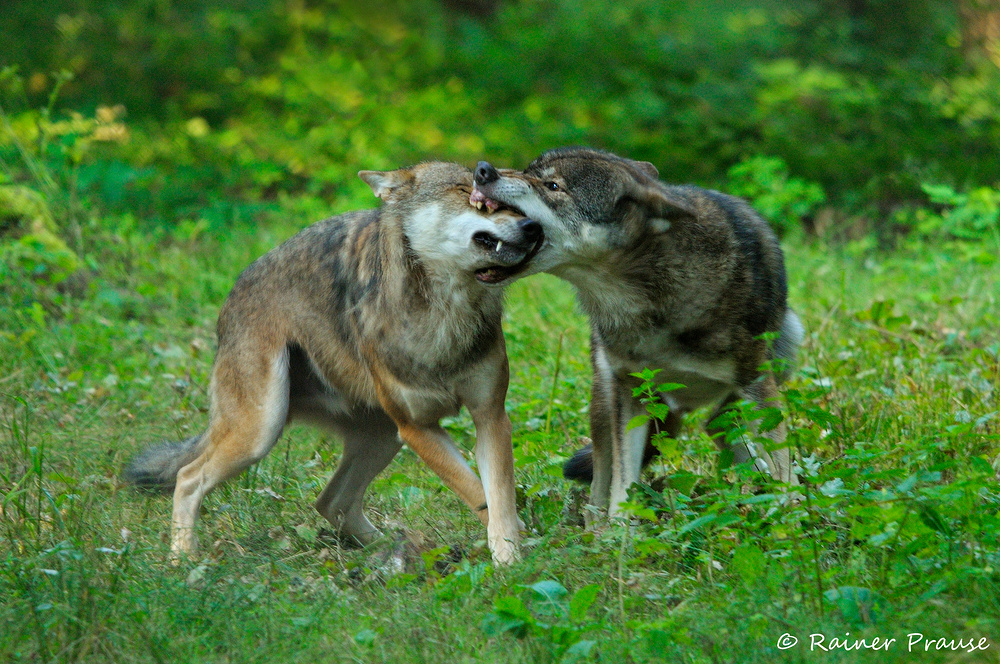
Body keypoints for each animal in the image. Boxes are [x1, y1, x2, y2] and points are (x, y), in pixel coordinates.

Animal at [126, 162, 548, 564]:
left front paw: (509, 555)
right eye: (467, 192)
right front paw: (514, 556)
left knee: (331, 502)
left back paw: (398, 549)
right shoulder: (418, 428)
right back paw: (183, 561)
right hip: (261, 431)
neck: (446, 309)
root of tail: (231, 297)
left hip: (380, 437)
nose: (533, 227)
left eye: (515, 203)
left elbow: (498, 494)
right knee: (187, 478)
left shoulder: (490, 417)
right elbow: (479, 493)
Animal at [468, 148, 804, 520]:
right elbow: (623, 483)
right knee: (604, 477)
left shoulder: (755, 382)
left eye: (553, 185)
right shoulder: (632, 393)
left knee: (722, 425)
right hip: (606, 400)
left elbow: (783, 459)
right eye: (528, 170)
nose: (482, 170)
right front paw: (620, 530)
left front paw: (793, 513)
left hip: (783, 354)